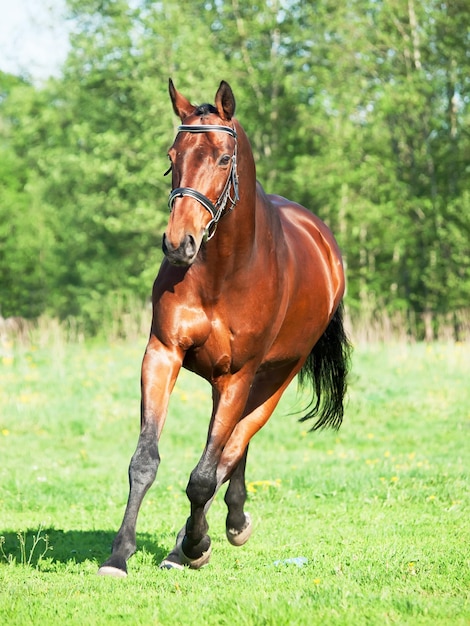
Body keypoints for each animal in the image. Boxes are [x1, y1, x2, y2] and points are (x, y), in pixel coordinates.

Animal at [98, 79, 348, 576]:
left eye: (223, 158)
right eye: (172, 156)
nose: (179, 243)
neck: (225, 272)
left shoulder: (240, 375)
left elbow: (203, 475)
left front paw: (194, 546)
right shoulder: (163, 354)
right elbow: (144, 460)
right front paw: (119, 555)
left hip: (271, 379)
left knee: (231, 448)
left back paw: (201, 538)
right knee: (231, 451)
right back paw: (225, 520)